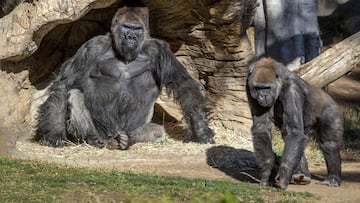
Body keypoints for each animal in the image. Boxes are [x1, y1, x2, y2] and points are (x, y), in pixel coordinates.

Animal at [33, 6, 214, 149]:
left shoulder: (159, 49)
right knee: (75, 95)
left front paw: (201, 130)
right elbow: (65, 85)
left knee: (157, 131)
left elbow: (182, 84)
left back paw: (127, 139)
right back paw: (94, 139)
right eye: (127, 27)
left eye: (137, 29)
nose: (131, 37)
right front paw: (54, 133)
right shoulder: (92, 47)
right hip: (104, 133)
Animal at [248, 57, 344, 189]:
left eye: (266, 88)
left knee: (329, 144)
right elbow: (262, 127)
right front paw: (268, 171)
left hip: (332, 110)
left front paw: (284, 174)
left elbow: (294, 132)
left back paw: (332, 179)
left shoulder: (292, 89)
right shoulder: (248, 84)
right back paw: (301, 175)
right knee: (292, 138)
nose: (262, 96)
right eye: (258, 88)